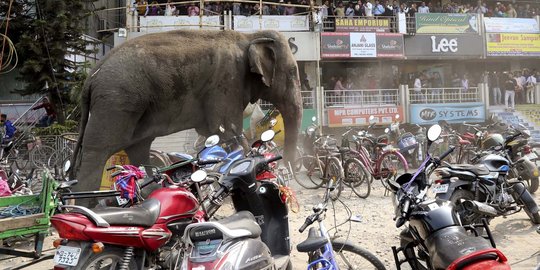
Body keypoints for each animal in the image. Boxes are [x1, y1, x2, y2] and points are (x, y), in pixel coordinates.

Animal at [69, 29, 302, 194]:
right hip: (116, 101)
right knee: (98, 150)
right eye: (292, 72)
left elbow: (213, 133)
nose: (289, 172)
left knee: (138, 147)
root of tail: (91, 77)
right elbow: (227, 129)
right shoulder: (226, 82)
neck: (249, 36)